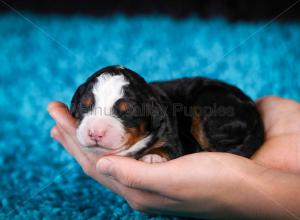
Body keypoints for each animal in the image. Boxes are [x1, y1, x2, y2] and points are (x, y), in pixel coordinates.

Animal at [69, 64, 262, 162]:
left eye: (127, 110)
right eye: (84, 105)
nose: (95, 133)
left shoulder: (174, 137)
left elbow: (168, 148)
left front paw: (152, 156)